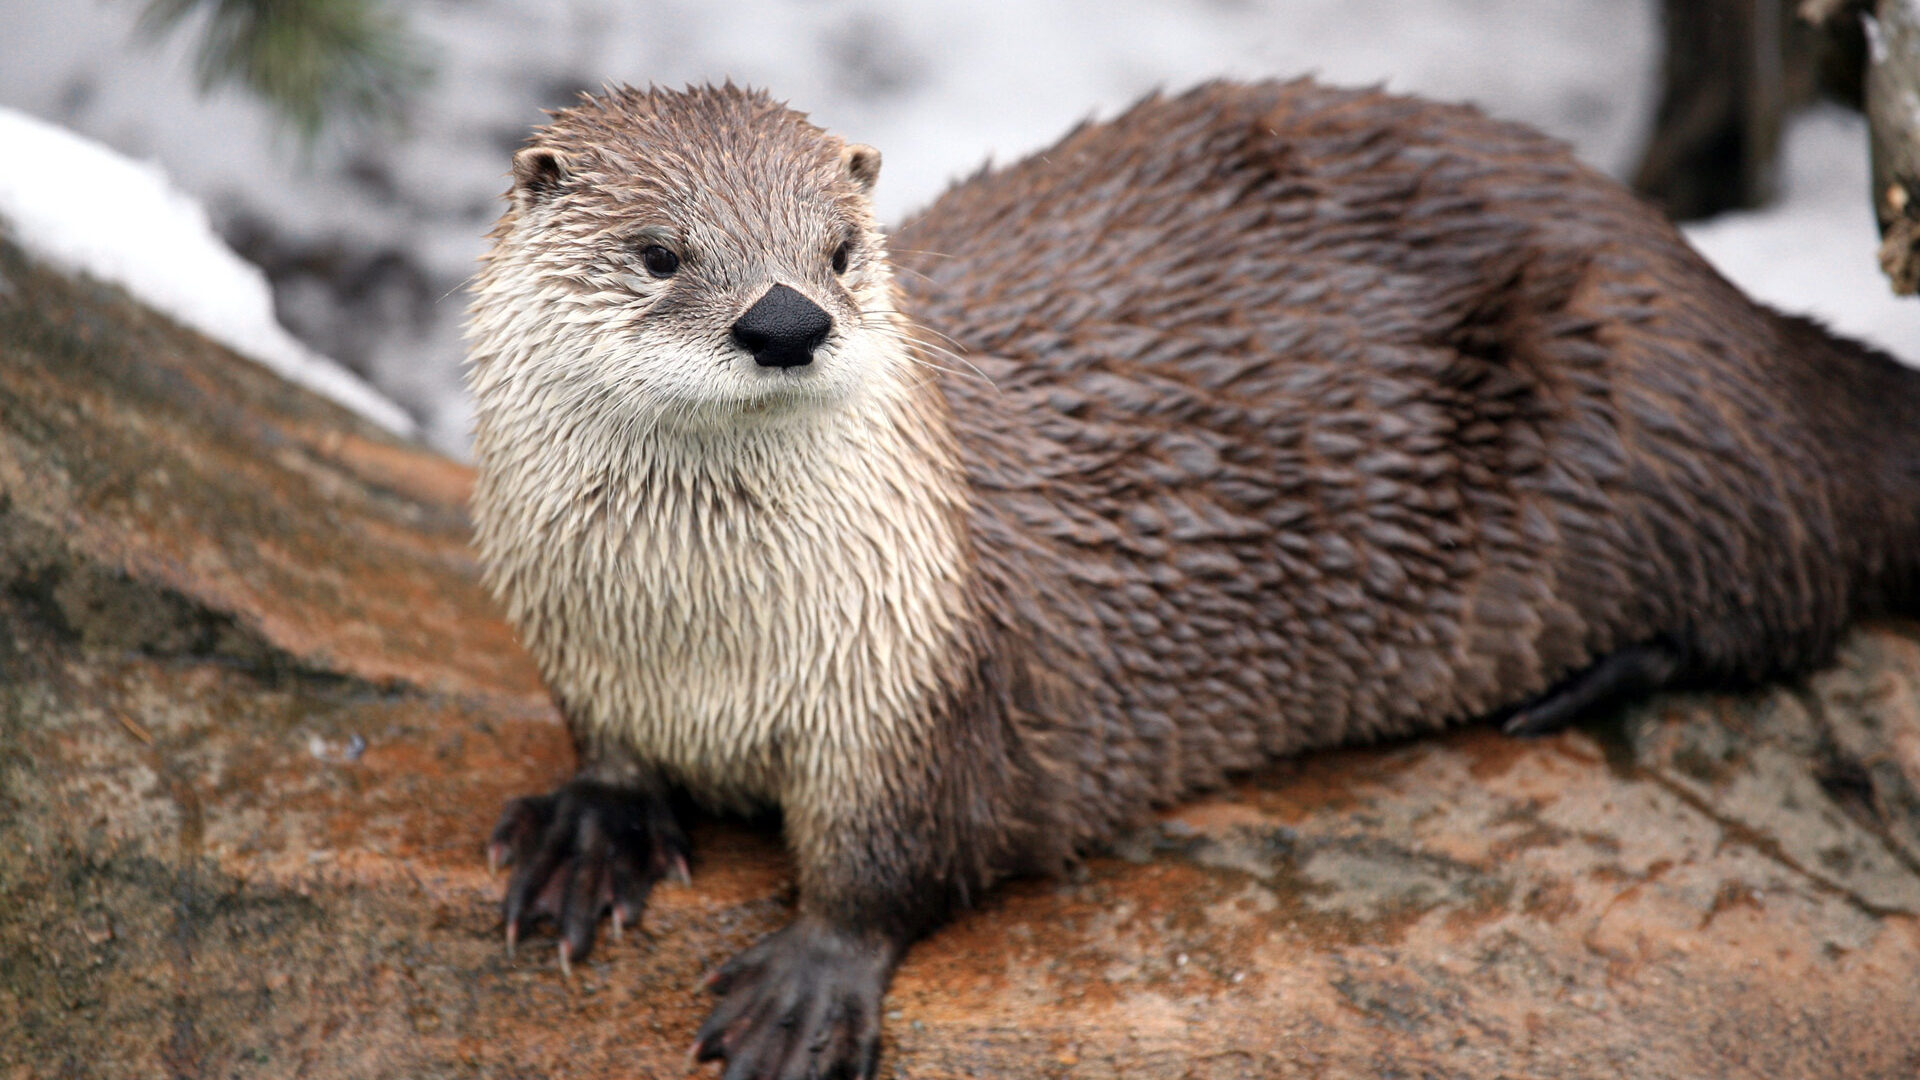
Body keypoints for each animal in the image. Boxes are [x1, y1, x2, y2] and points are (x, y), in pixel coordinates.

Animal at [465, 81, 1920, 1080]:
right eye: (660, 250)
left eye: (839, 249)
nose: (787, 320)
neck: (702, 640)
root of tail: (1725, 299)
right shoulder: (582, 643)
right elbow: (605, 750)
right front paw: (589, 831)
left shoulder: (926, 686)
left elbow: (900, 856)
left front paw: (808, 986)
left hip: (1653, 404)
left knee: (1791, 583)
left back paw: (1587, 682)